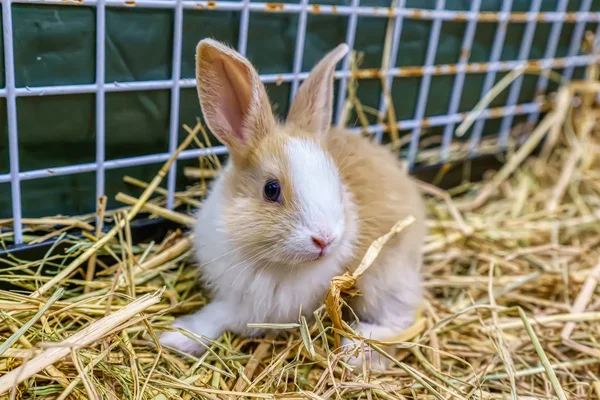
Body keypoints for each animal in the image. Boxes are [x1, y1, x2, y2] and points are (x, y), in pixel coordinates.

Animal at [159, 39, 426, 370]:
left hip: (384, 280)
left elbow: (215, 317)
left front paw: (172, 336)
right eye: (271, 190)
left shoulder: (248, 310)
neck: (272, 263)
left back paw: (354, 348)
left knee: (403, 320)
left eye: (337, 183)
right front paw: (173, 338)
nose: (325, 239)